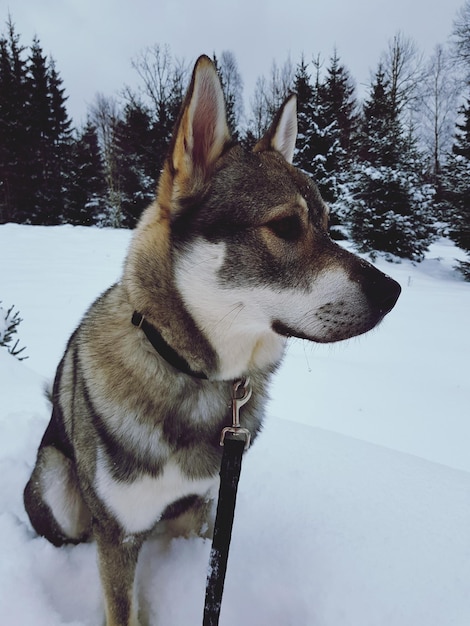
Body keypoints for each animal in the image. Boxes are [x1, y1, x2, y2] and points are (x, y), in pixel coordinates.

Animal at [24, 54, 400, 624]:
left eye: (327, 225)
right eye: (285, 227)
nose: (394, 291)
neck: (191, 374)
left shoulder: (206, 507)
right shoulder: (118, 532)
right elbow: (121, 606)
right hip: (60, 490)